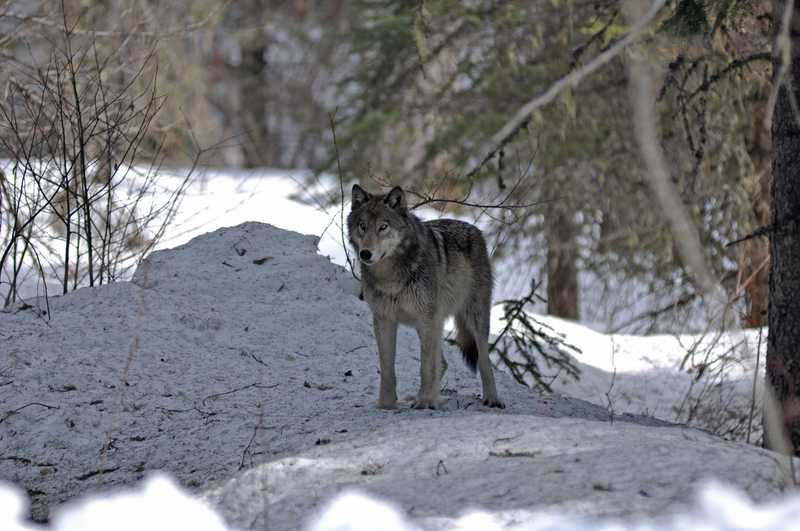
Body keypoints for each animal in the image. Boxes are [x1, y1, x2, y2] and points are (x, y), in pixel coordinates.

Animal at [346, 184, 506, 412]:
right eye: (362, 226)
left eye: (383, 227)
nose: (365, 254)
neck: (391, 276)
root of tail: (475, 229)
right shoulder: (383, 319)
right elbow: (387, 369)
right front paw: (386, 404)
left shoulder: (427, 316)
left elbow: (426, 365)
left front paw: (427, 401)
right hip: (427, 324)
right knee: (443, 362)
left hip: (471, 318)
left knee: (484, 360)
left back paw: (492, 398)